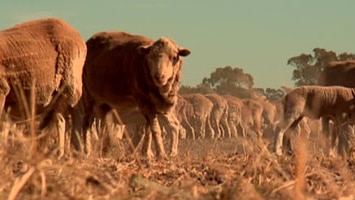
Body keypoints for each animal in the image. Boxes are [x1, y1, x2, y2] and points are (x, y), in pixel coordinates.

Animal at [0, 18, 87, 157]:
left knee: (69, 118)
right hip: (57, 95)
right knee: (57, 120)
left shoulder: (2, 89)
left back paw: (69, 151)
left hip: (70, 85)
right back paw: (51, 150)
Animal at [82, 30, 192, 158]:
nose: (159, 76)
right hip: (89, 97)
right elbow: (154, 129)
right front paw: (159, 153)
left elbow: (150, 128)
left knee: (173, 125)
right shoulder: (145, 102)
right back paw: (88, 151)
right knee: (87, 125)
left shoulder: (154, 105)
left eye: (174, 57)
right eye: (150, 57)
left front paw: (152, 153)